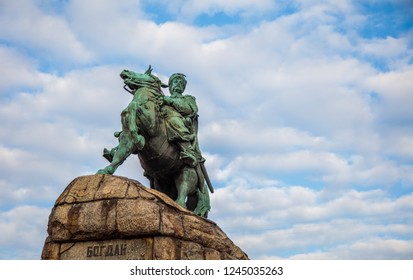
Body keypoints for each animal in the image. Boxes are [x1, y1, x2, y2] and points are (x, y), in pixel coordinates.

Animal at [97, 65, 211, 217]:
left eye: (147, 75)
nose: (125, 71)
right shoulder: (126, 136)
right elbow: (120, 155)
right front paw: (106, 170)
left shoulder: (151, 126)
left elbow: (134, 107)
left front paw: (139, 139)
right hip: (161, 182)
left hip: (187, 172)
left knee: (184, 189)